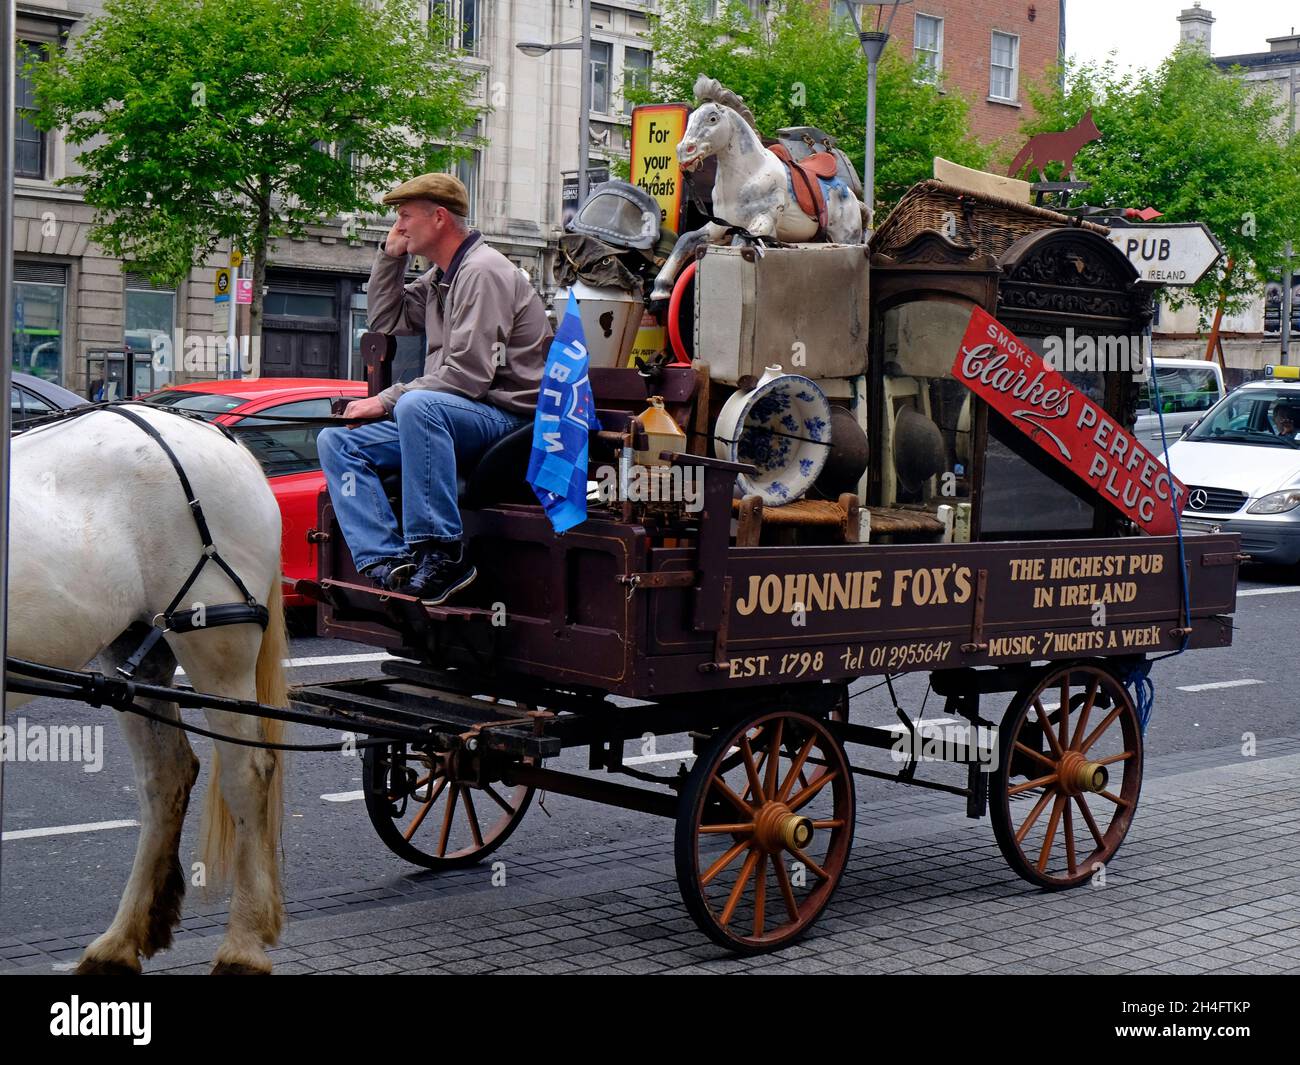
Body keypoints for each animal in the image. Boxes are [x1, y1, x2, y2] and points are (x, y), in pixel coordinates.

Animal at [5, 404, 289, 974]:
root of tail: (213, 432)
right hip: (133, 658)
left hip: (217, 646)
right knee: (166, 777)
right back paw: (120, 941)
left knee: (247, 773)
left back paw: (242, 945)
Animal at [650, 75, 870, 304]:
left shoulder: (763, 220)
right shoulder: (722, 224)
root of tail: (853, 197)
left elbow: (739, 242)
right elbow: (686, 238)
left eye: (712, 118)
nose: (684, 151)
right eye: (691, 118)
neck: (749, 174)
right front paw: (660, 289)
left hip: (847, 236)